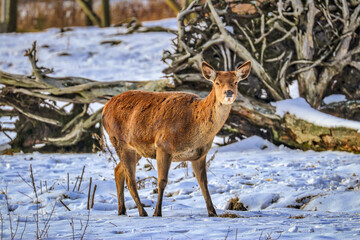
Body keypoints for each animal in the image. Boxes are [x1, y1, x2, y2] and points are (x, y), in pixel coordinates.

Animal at [102, 60, 250, 218]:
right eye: (217, 82)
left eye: (235, 82)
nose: (229, 92)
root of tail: (105, 108)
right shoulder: (163, 146)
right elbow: (162, 181)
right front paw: (157, 212)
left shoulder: (200, 154)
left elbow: (203, 182)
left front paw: (212, 212)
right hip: (119, 140)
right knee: (130, 180)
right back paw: (143, 212)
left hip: (137, 149)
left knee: (118, 171)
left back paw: (121, 210)